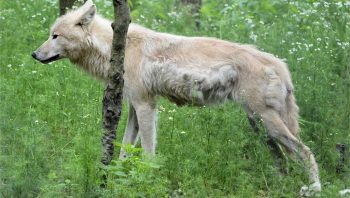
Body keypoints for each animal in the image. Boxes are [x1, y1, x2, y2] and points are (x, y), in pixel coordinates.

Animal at [31, 0, 322, 195]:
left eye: (55, 36)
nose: (34, 54)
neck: (119, 49)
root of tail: (280, 64)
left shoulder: (146, 106)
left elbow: (148, 155)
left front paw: (146, 183)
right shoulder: (135, 109)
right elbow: (124, 152)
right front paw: (118, 182)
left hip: (267, 123)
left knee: (306, 152)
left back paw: (315, 188)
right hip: (260, 127)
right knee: (283, 162)